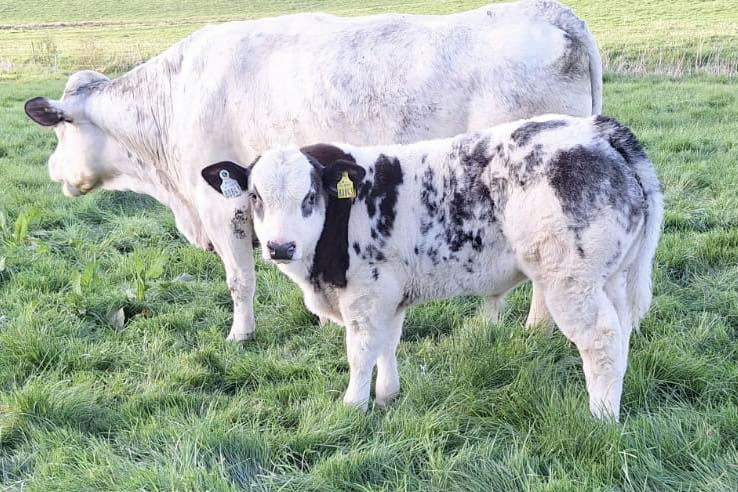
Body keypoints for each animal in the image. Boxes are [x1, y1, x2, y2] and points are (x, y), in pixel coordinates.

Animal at [24, 0, 602, 341]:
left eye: (60, 133)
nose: (52, 169)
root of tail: (555, 13)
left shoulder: (224, 206)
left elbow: (240, 280)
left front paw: (241, 334)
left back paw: (533, 328)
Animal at [200, 115, 663, 419]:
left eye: (310, 195)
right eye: (255, 196)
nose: (280, 246)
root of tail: (598, 130)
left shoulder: (365, 297)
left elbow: (361, 351)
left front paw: (353, 406)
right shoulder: (388, 297)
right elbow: (387, 344)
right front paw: (387, 395)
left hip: (570, 281)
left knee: (601, 339)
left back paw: (601, 417)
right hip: (611, 277)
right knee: (621, 329)